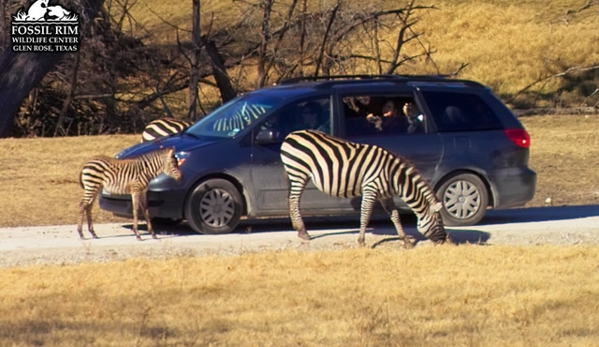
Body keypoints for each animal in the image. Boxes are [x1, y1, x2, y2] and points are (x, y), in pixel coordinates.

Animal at [278, 130, 448, 247]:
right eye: (439, 221)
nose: (445, 241)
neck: (393, 177)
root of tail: (291, 134)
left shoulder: (385, 195)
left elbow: (395, 216)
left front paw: (405, 241)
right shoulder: (370, 189)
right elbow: (365, 215)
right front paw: (361, 241)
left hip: (296, 174)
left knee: (290, 198)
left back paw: (297, 228)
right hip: (298, 172)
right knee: (294, 200)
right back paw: (304, 232)